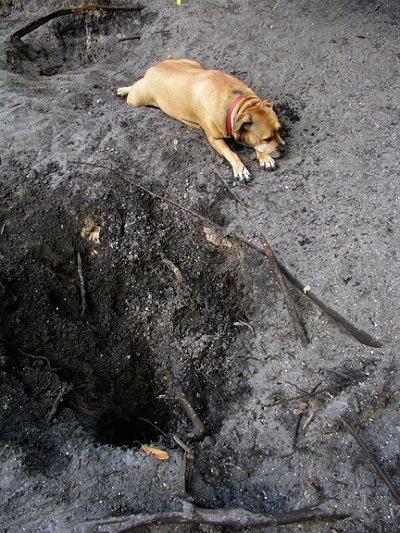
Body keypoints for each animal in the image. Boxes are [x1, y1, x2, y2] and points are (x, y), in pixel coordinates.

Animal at [115, 57, 284, 183]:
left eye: (279, 130)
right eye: (267, 138)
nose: (283, 148)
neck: (236, 104)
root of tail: (157, 65)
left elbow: (256, 146)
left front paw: (264, 157)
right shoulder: (214, 139)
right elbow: (231, 153)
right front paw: (240, 168)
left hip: (194, 64)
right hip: (137, 99)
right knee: (134, 87)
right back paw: (123, 89)